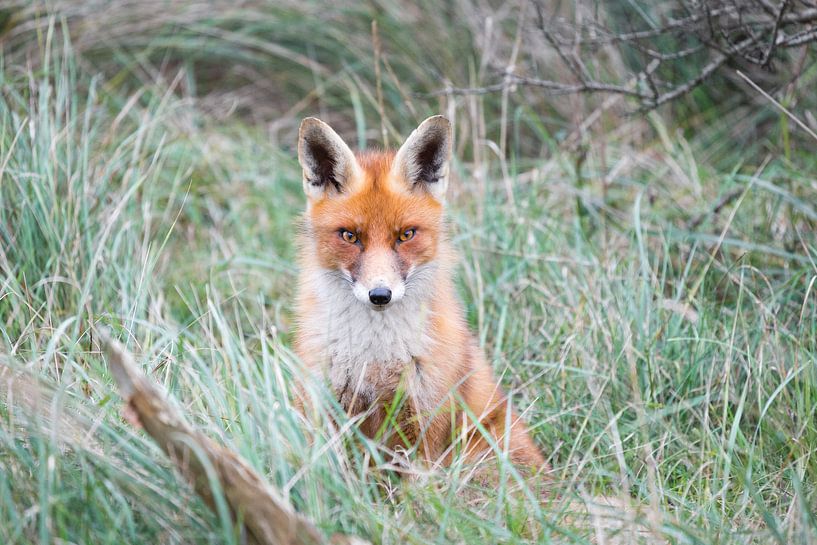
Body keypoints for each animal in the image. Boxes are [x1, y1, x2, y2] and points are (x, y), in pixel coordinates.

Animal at [293, 115, 545, 470]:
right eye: (350, 236)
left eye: (406, 235)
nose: (380, 295)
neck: (376, 360)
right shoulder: (328, 407)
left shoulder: (423, 422)